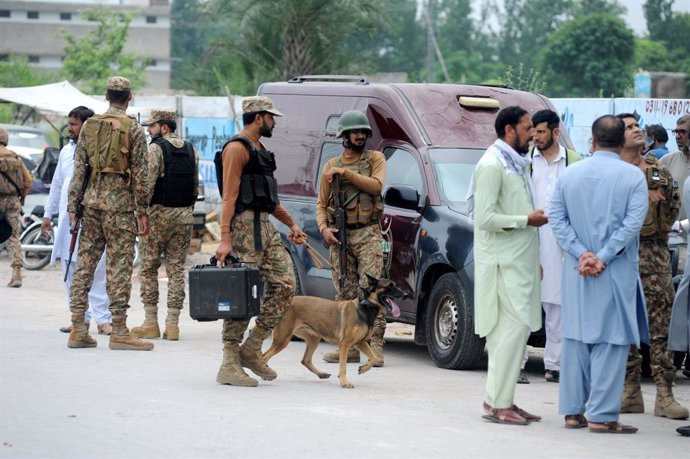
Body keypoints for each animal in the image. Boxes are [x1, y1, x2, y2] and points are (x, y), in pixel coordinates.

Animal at [262, 274, 404, 390]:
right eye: (389, 286)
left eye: (396, 285)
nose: (406, 294)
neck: (365, 307)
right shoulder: (345, 344)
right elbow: (343, 366)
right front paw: (344, 382)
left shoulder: (361, 343)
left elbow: (374, 357)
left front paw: (363, 368)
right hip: (283, 339)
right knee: (264, 356)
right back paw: (264, 372)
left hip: (314, 339)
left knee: (305, 360)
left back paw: (321, 374)